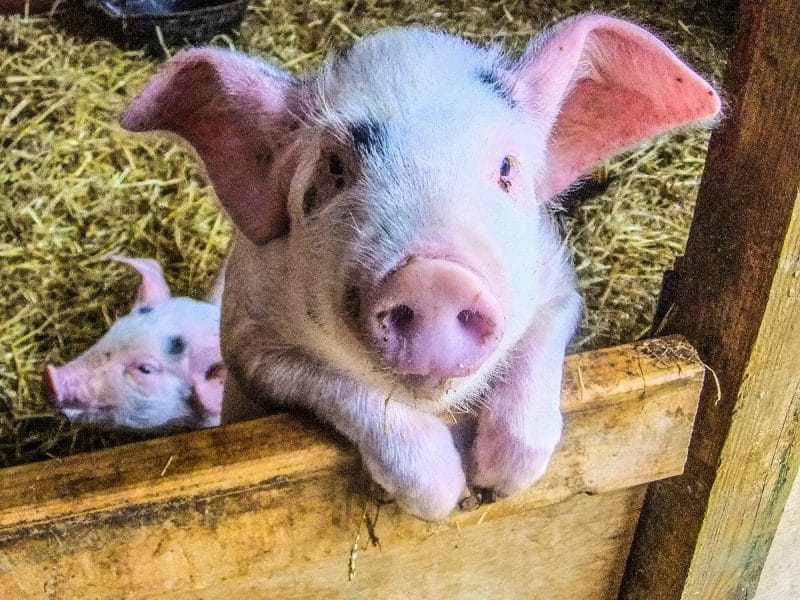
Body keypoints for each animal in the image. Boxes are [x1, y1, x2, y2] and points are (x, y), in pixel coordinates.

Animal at [121, 15, 720, 520]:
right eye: (335, 167)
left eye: (506, 167)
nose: (435, 278)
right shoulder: (252, 346)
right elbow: (340, 387)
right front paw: (444, 501)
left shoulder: (558, 285)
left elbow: (539, 345)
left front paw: (499, 484)